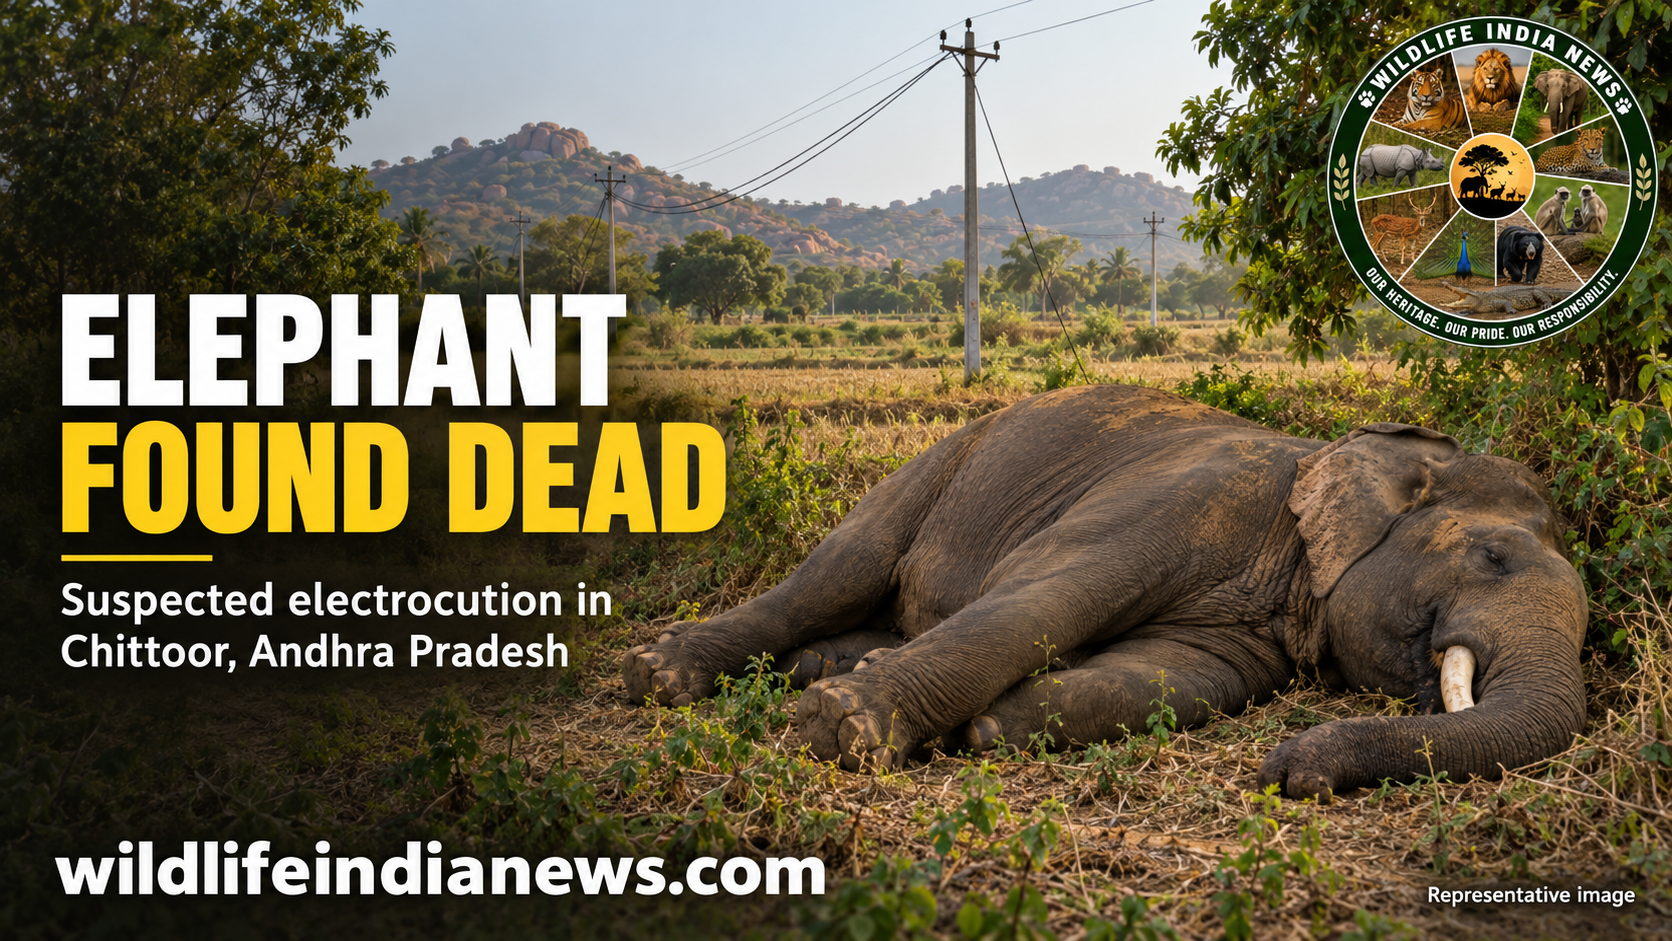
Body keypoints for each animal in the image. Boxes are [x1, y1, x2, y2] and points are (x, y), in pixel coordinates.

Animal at [622, 385, 1588, 801]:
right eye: (1494, 557)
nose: (1287, 768)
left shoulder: (1255, 627)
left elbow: (1178, 678)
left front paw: (991, 728)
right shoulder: (1195, 497)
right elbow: (1043, 594)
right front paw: (841, 734)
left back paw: (823, 668)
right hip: (938, 464)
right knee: (839, 567)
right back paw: (661, 676)